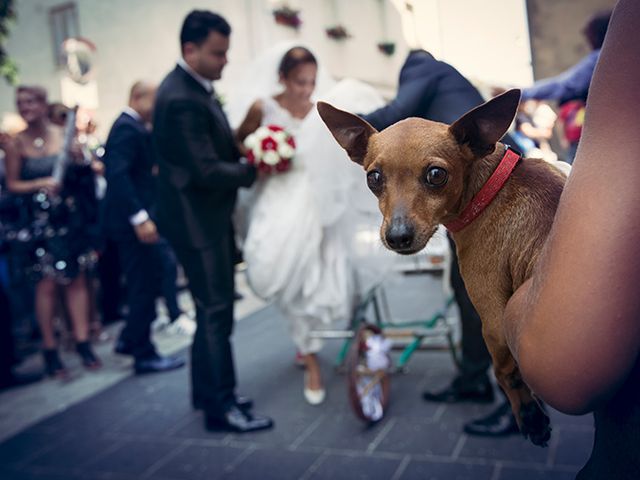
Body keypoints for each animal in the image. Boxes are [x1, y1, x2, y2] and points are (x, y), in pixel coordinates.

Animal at [318, 90, 564, 446]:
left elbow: (505, 373)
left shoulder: (494, 323)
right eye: (373, 178)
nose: (398, 236)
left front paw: (530, 418)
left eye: (436, 175)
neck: (490, 189)